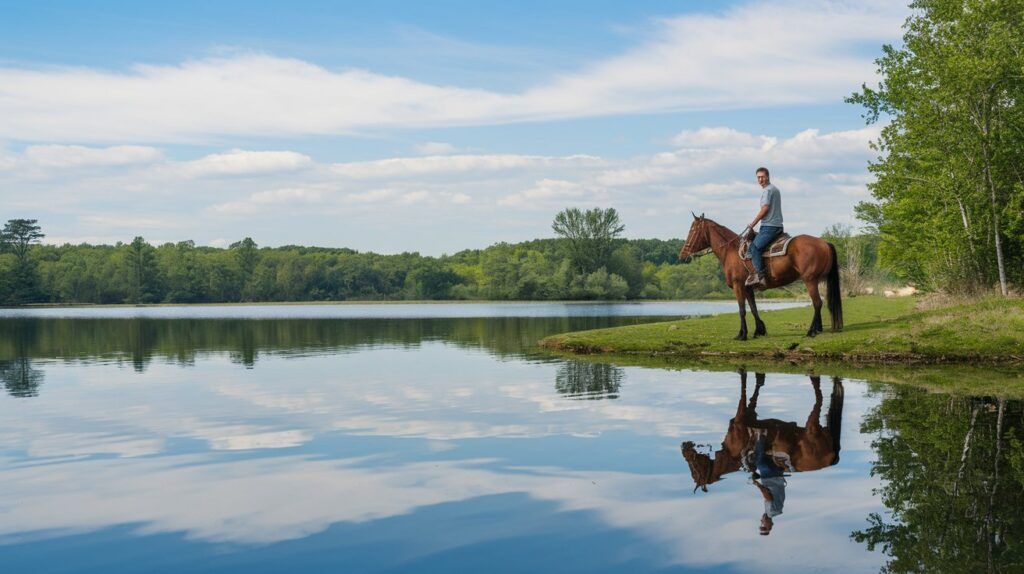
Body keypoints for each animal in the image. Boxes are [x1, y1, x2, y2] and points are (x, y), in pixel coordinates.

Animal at [679, 214, 839, 339]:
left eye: (693, 230)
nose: (682, 254)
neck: (731, 251)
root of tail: (824, 243)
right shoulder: (748, 288)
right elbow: (753, 308)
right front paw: (759, 330)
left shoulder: (738, 286)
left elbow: (742, 310)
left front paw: (742, 334)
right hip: (817, 280)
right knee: (819, 302)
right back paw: (817, 329)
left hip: (810, 280)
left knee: (817, 303)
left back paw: (811, 331)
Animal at [684, 372, 843, 493]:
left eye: (694, 470)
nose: (684, 446)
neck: (732, 454)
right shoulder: (750, 414)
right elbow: (755, 390)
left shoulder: (740, 418)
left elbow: (743, 388)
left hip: (812, 427)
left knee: (818, 396)